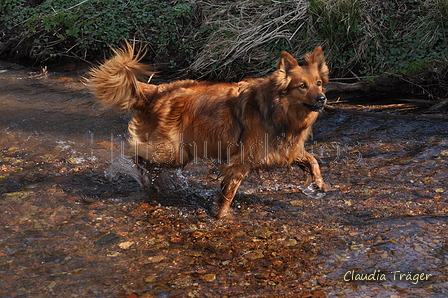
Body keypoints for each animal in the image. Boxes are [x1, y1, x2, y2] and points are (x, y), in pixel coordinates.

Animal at [90, 43, 328, 218]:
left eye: (318, 83)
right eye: (302, 86)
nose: (322, 98)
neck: (276, 109)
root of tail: (156, 91)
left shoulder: (284, 149)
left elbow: (312, 159)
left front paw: (319, 183)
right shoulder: (240, 161)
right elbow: (228, 194)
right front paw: (221, 217)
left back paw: (159, 189)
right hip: (173, 152)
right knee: (140, 160)